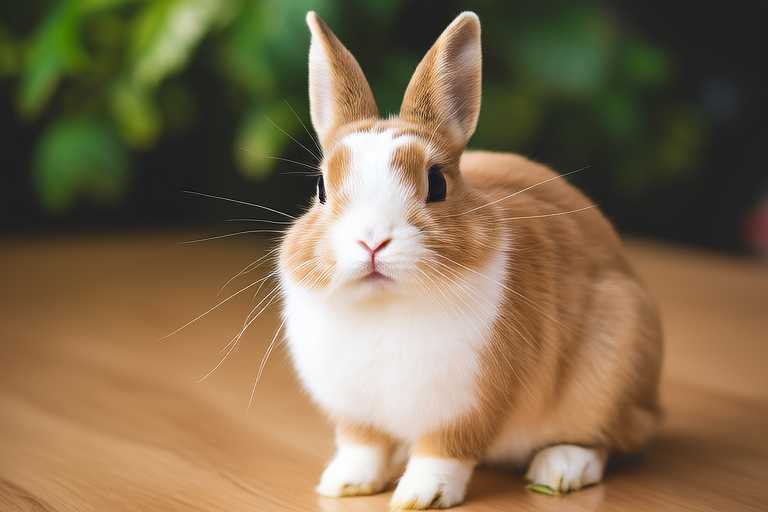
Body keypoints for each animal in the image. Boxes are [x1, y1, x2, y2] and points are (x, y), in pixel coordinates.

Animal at [277, 10, 663, 510]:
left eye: (437, 183)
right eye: (321, 187)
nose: (372, 242)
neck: (385, 304)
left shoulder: (468, 407)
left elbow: (444, 453)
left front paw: (420, 496)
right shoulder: (357, 414)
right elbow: (364, 447)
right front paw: (343, 484)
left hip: (610, 369)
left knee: (604, 439)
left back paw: (559, 469)